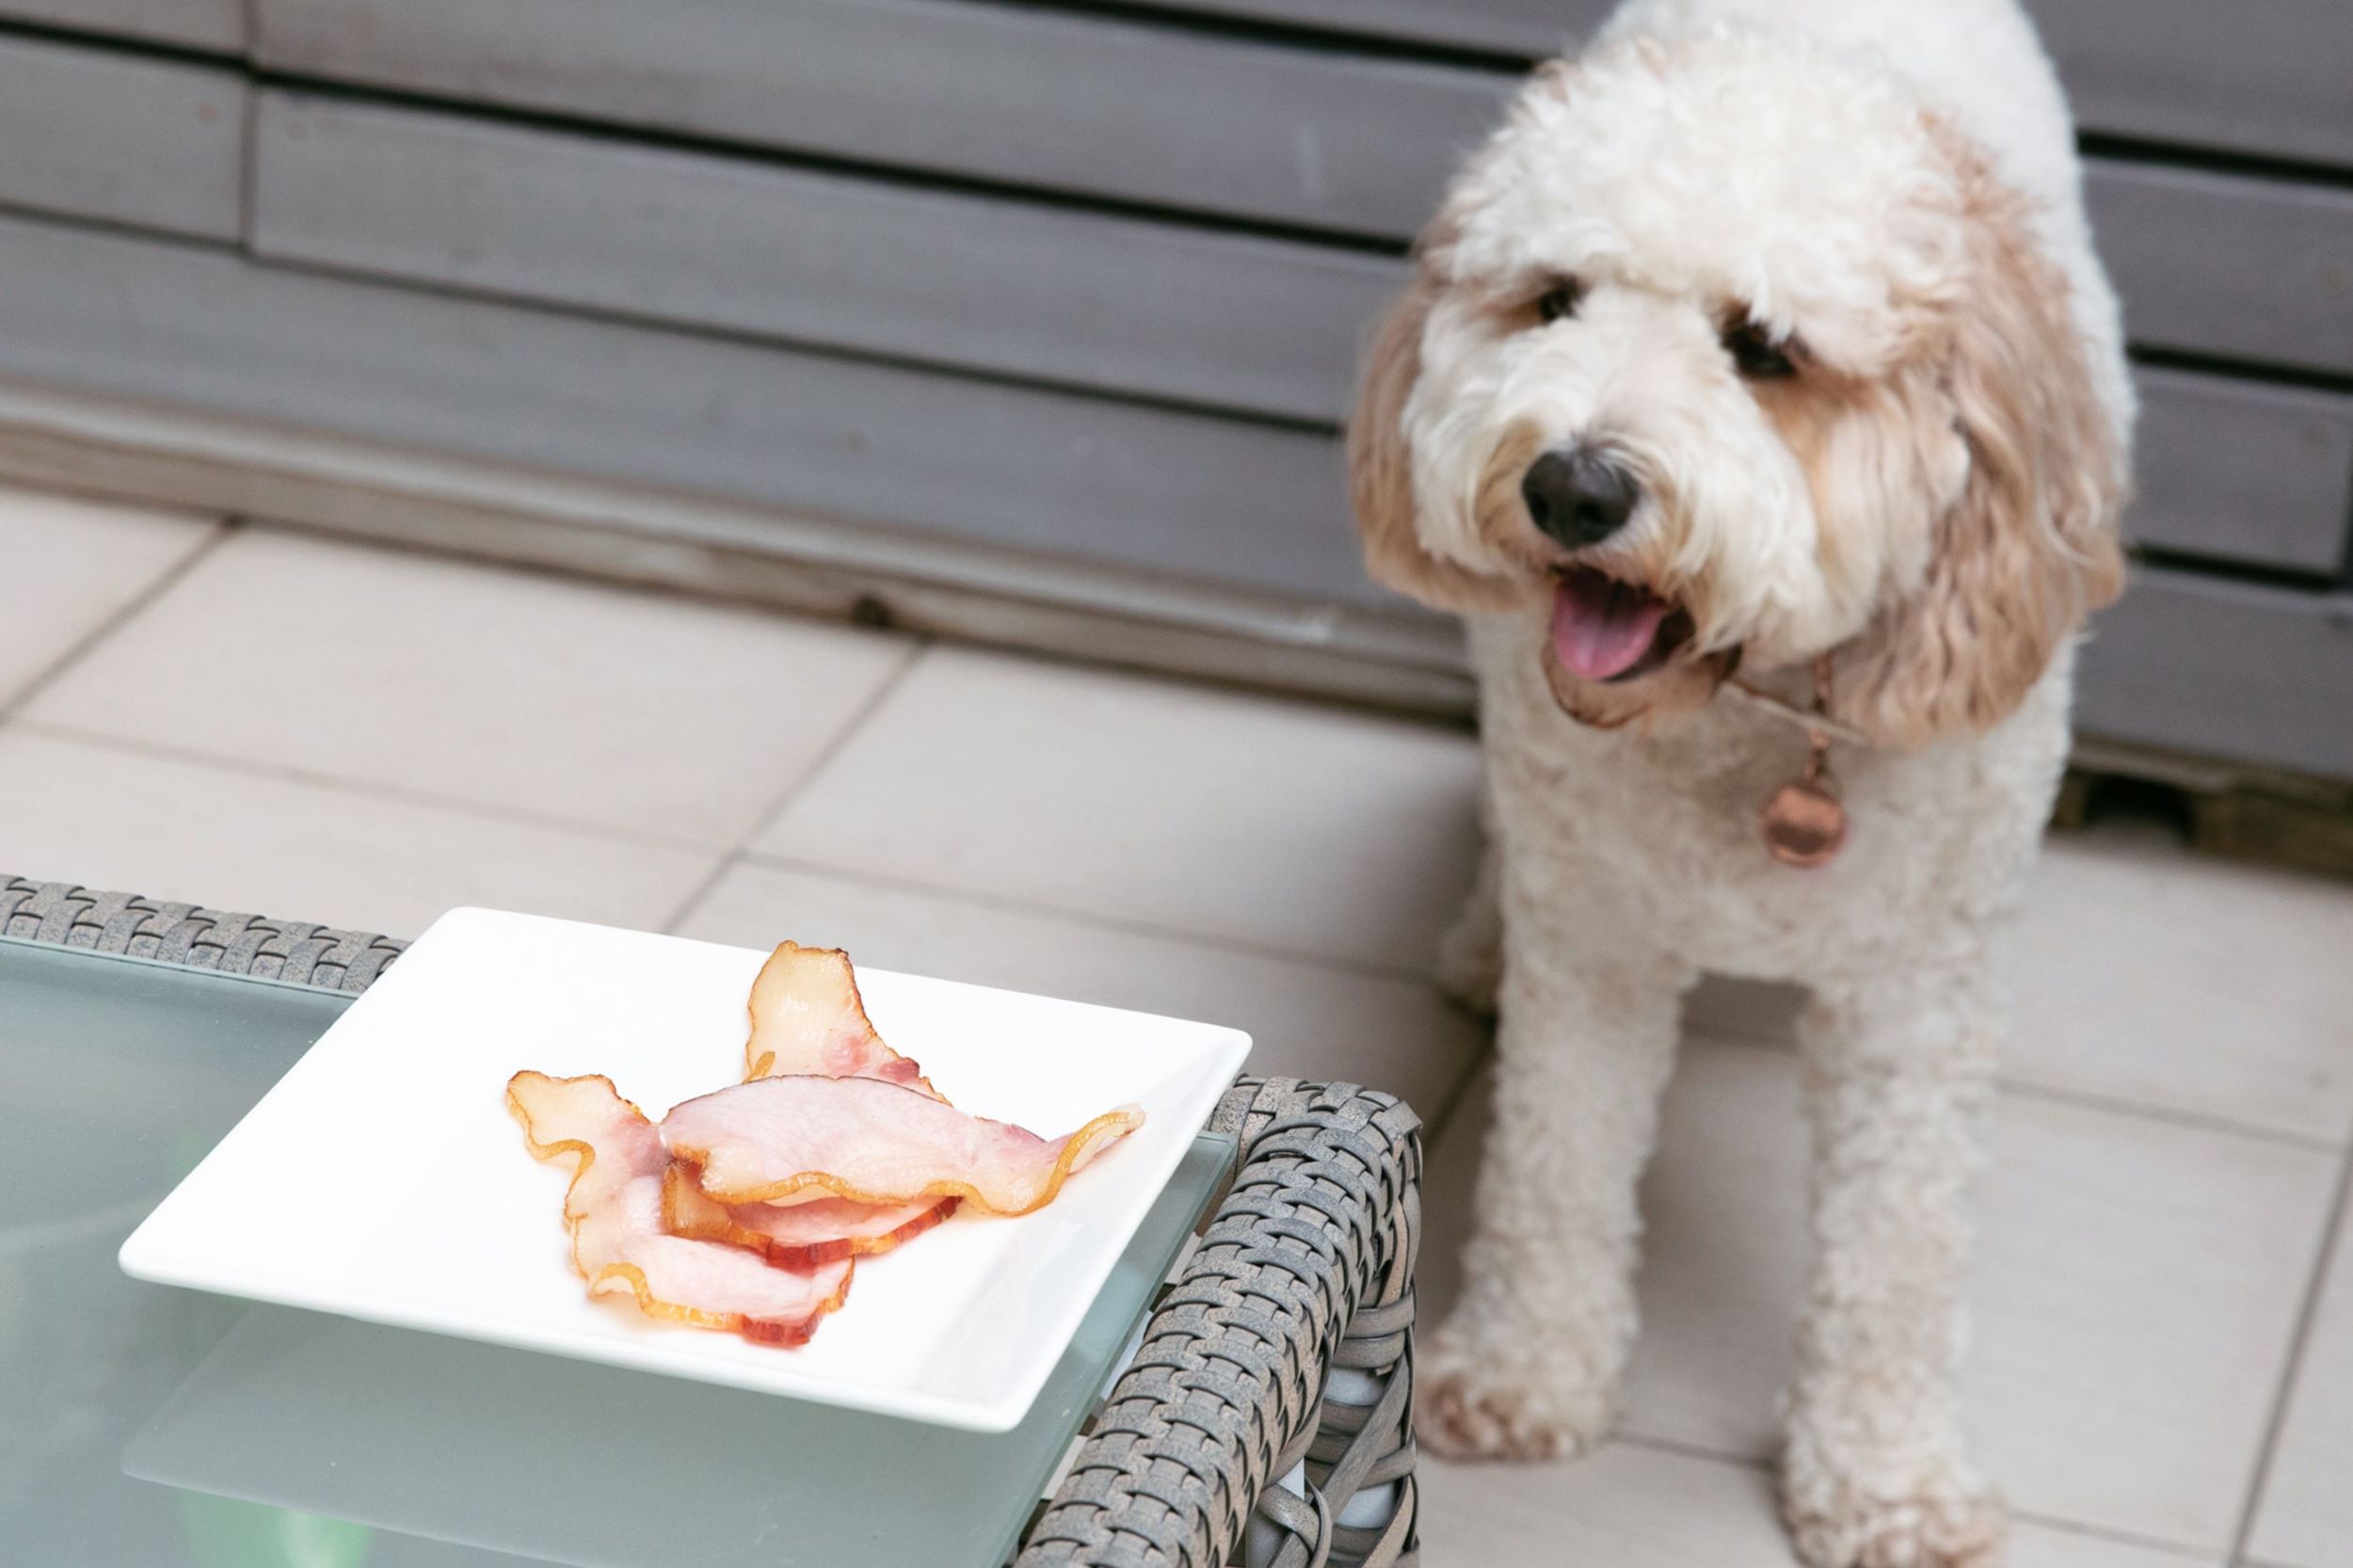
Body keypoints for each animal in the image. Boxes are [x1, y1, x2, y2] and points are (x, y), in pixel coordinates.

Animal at [1346, 3, 2137, 1562]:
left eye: (1764, 348)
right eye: (1555, 300)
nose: (1574, 486)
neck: (1755, 718)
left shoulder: (1918, 992)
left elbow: (1896, 1255)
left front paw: (1887, 1478)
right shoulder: (1596, 936)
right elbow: (1558, 1158)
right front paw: (1527, 1369)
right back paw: (1478, 943)